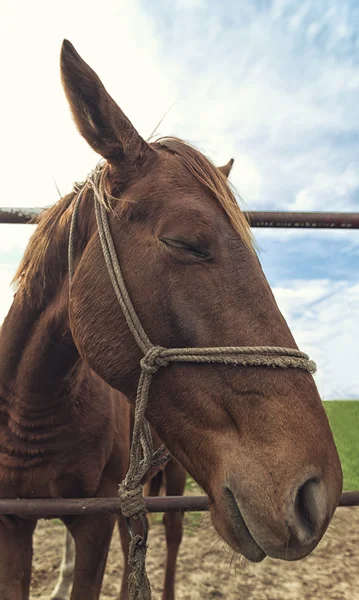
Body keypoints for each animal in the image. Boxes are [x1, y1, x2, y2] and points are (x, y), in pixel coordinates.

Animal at [0, 38, 344, 600]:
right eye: (186, 243)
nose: (315, 492)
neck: (35, 403)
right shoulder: (14, 523)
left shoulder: (93, 521)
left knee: (174, 535)